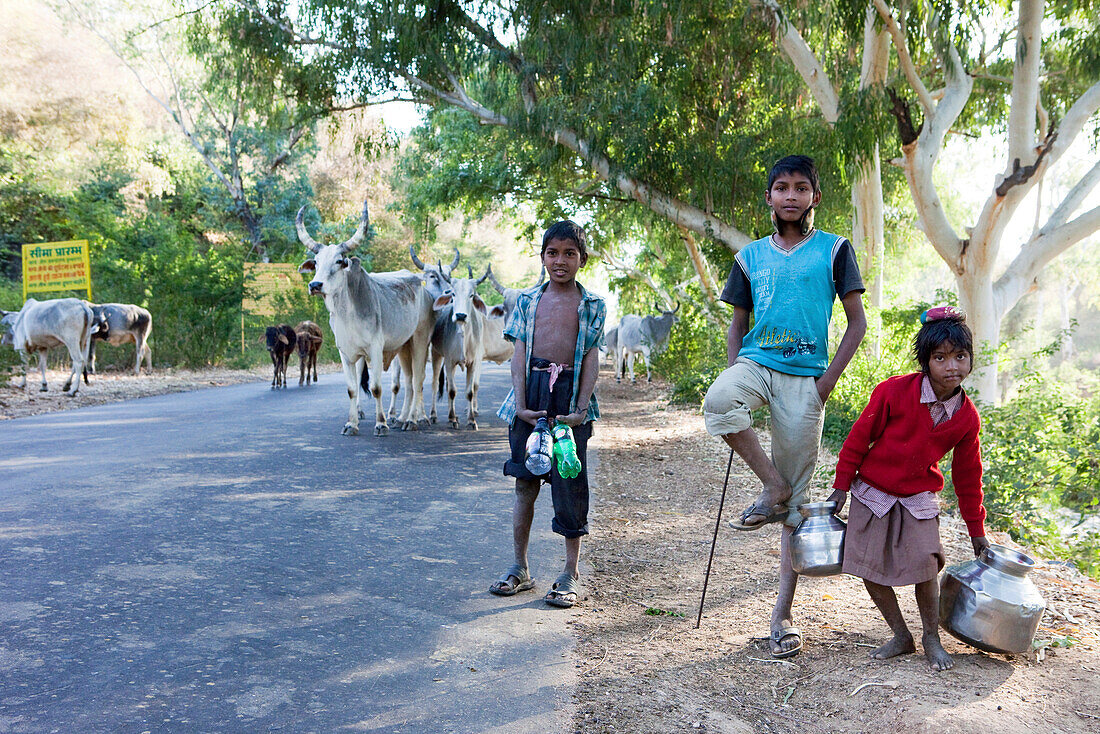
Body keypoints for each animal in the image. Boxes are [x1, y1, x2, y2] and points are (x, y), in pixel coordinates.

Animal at [301, 201, 442, 435]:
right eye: (316, 262)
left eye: (339, 261)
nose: (315, 285)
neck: (347, 315)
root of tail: (425, 290)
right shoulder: (346, 354)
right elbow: (352, 389)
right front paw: (351, 424)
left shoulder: (375, 350)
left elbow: (376, 388)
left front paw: (381, 423)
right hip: (403, 347)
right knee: (409, 381)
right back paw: (402, 418)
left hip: (420, 341)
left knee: (418, 380)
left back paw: (413, 420)